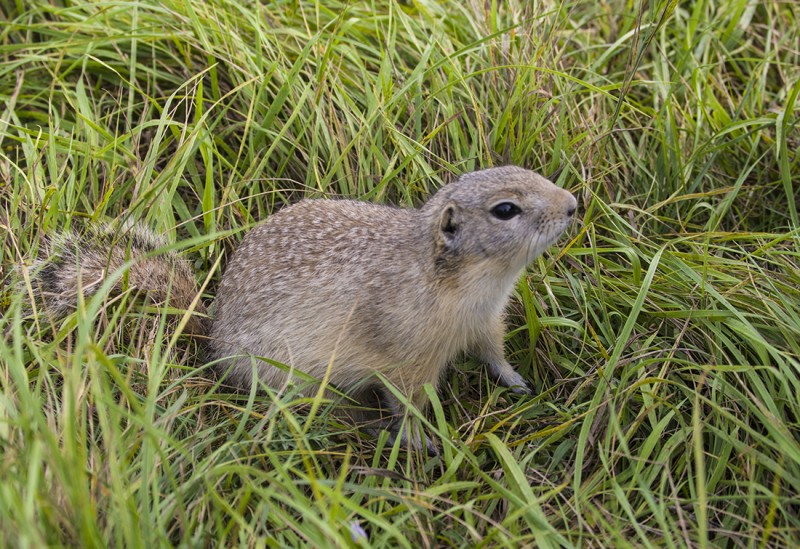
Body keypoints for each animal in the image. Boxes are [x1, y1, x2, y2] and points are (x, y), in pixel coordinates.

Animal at [23, 166, 576, 450]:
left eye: (530, 171)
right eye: (505, 209)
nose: (573, 204)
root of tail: (210, 336)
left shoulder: (486, 322)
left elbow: (494, 355)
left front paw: (517, 382)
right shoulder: (406, 356)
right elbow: (409, 403)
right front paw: (422, 442)